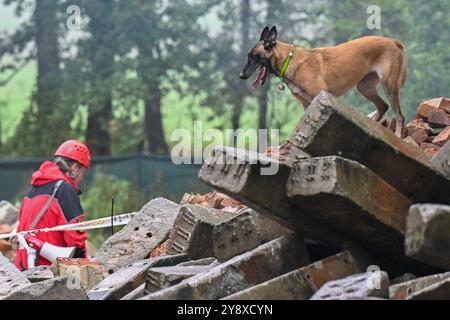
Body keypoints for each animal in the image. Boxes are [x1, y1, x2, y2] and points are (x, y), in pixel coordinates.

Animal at [241, 26, 410, 138]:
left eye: (253, 56)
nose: (241, 75)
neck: (288, 60)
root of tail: (393, 41)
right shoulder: (307, 105)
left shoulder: (321, 95)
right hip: (364, 87)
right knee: (382, 106)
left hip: (388, 86)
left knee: (399, 116)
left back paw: (397, 136)